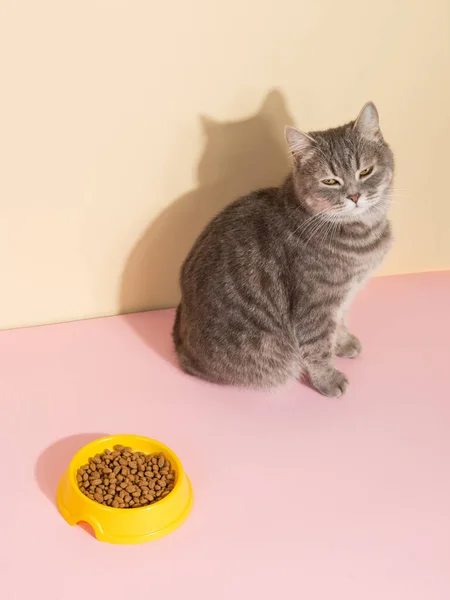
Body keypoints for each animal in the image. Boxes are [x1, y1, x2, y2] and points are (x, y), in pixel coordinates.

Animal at [172, 103, 394, 396]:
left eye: (365, 172)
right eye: (330, 182)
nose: (355, 196)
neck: (362, 232)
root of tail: (181, 347)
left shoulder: (343, 295)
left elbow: (339, 323)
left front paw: (343, 342)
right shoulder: (316, 303)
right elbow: (318, 346)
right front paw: (328, 379)